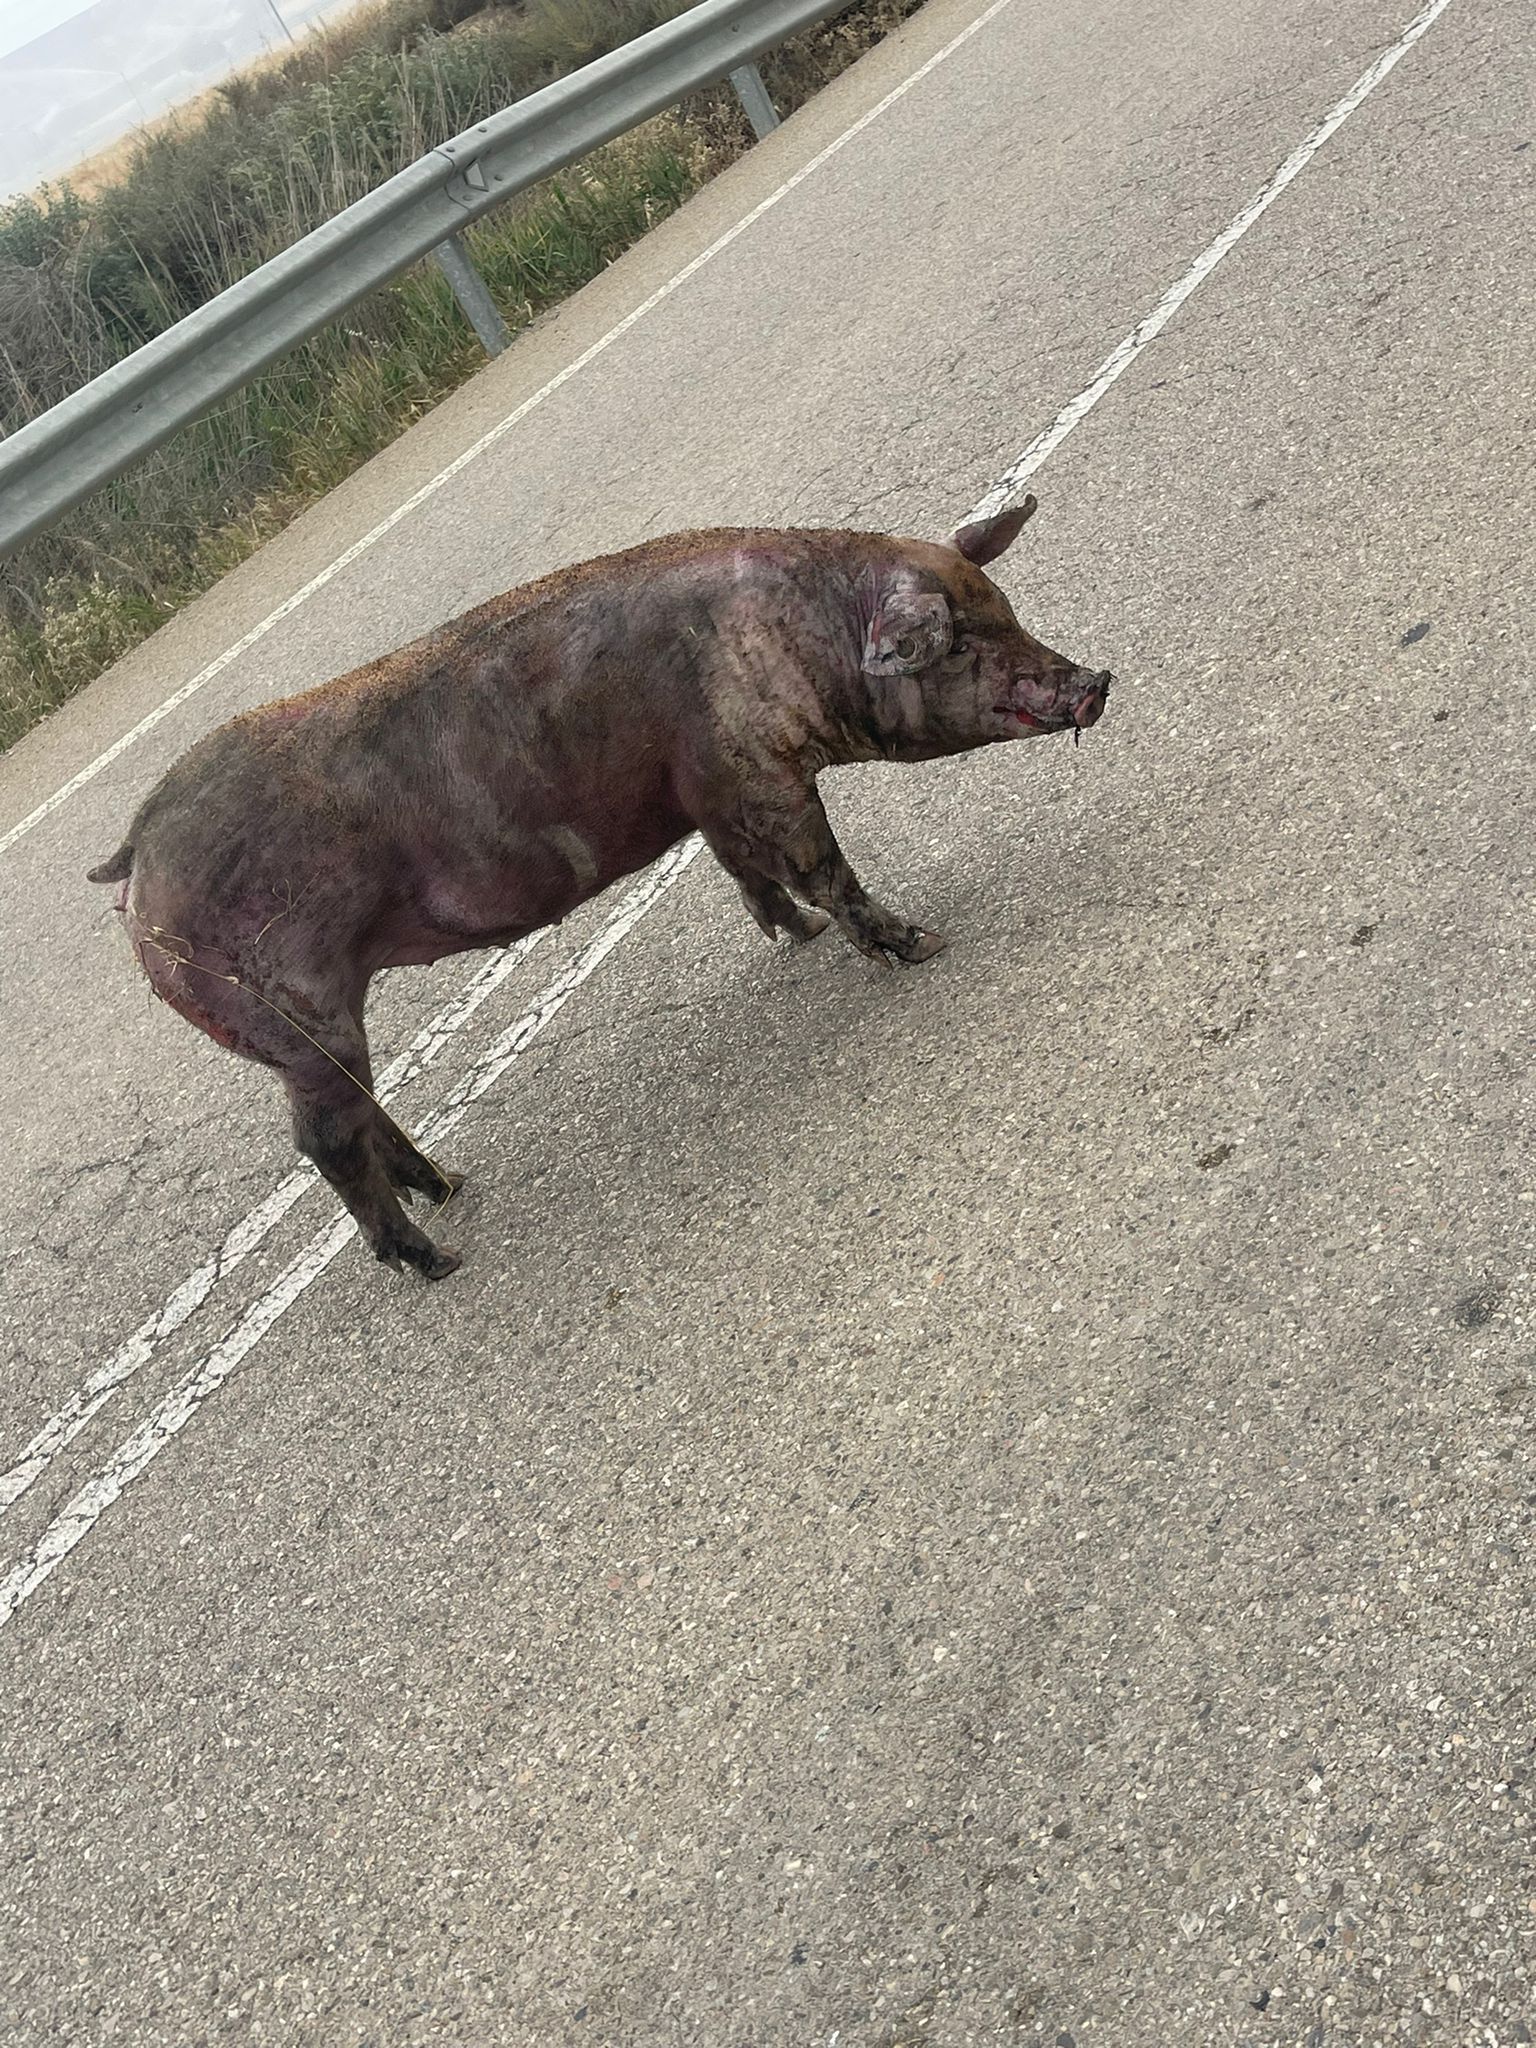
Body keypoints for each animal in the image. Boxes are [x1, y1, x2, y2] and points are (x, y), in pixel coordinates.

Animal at [87, 499, 1105, 1277]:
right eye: (958, 642)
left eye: (1005, 608)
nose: (1094, 680)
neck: (796, 640)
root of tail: (135, 857)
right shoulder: (757, 772)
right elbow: (823, 865)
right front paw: (924, 943)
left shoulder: (707, 792)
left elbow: (746, 869)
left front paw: (797, 936)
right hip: (296, 1015)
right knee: (323, 1143)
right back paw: (440, 1258)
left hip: (308, 1035)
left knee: (357, 1118)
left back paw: (452, 1186)